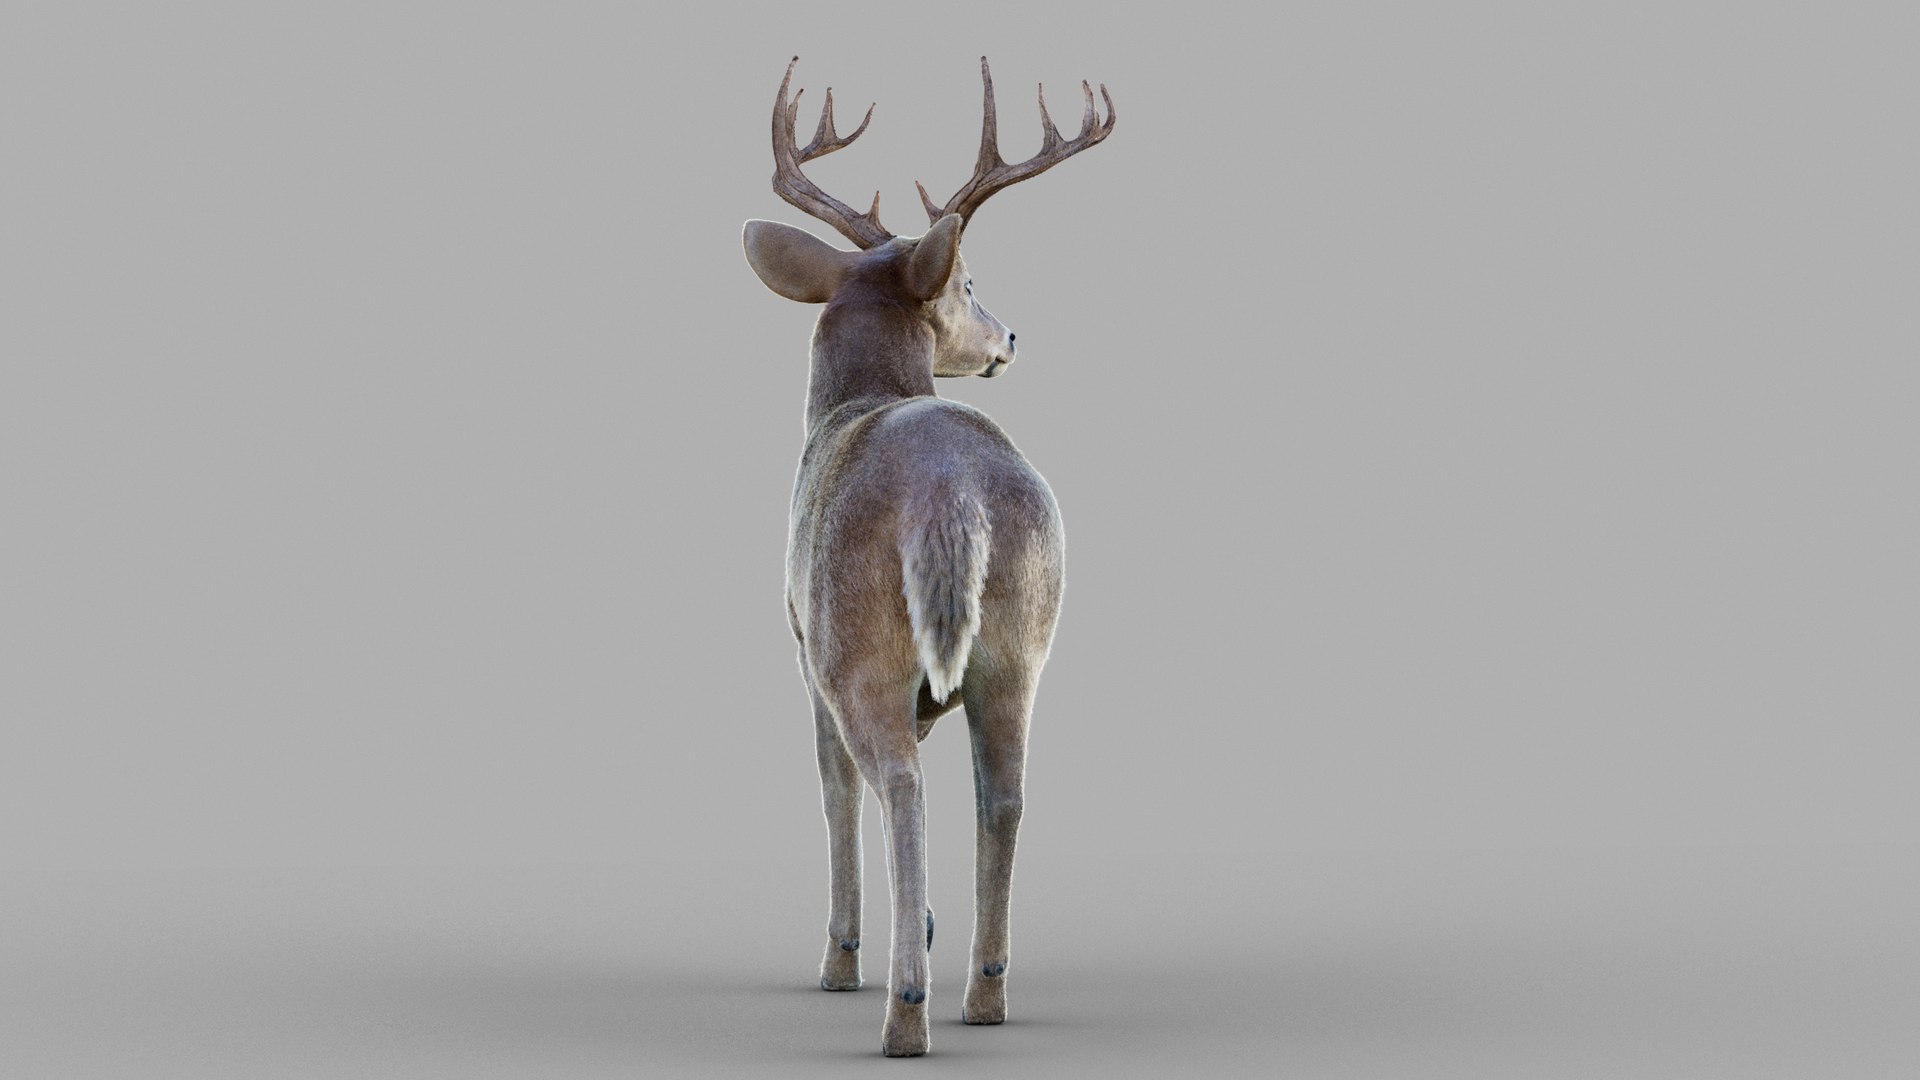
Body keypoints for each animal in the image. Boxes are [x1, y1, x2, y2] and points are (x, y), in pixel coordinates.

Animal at [740, 57, 1115, 1057]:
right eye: (970, 282)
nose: (1010, 337)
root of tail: (950, 492)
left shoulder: (802, 648)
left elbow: (835, 788)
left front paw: (844, 953)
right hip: (1021, 632)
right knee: (1003, 796)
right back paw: (985, 993)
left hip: (854, 635)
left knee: (899, 785)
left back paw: (900, 1006)